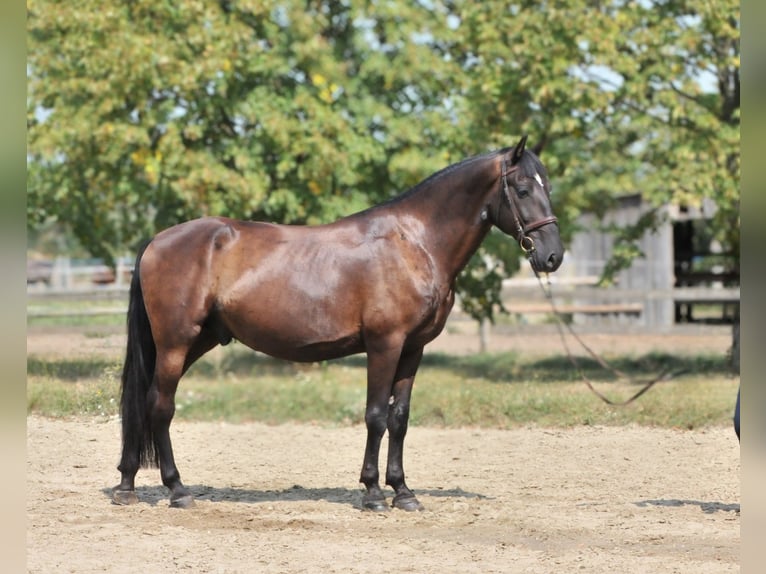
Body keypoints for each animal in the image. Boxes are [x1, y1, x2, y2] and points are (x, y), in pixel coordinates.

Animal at [114, 136, 568, 512]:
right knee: (161, 406)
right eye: (523, 190)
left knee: (145, 402)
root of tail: (156, 241)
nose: (552, 256)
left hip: (195, 342)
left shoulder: (413, 348)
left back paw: (127, 485)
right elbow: (376, 416)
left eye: (548, 187)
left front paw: (403, 492)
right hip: (176, 343)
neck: (415, 242)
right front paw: (373, 493)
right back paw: (177, 490)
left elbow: (400, 418)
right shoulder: (385, 344)